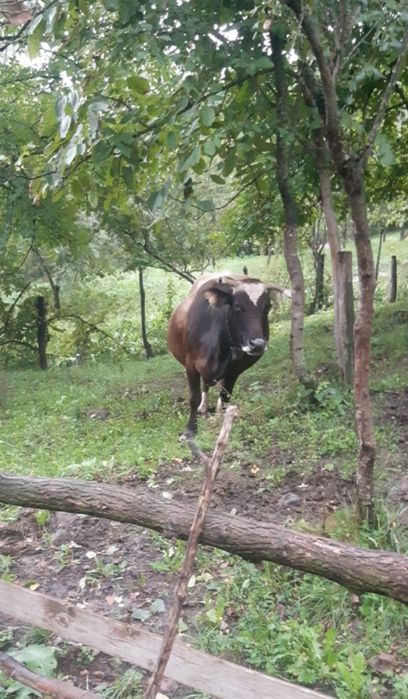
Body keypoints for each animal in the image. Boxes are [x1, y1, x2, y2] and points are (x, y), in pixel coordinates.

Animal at [167, 273, 287, 435]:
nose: (257, 344)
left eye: (267, 306)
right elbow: (194, 397)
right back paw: (203, 408)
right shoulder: (190, 364)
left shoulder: (233, 371)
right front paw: (190, 430)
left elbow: (225, 398)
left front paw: (221, 424)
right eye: (237, 305)